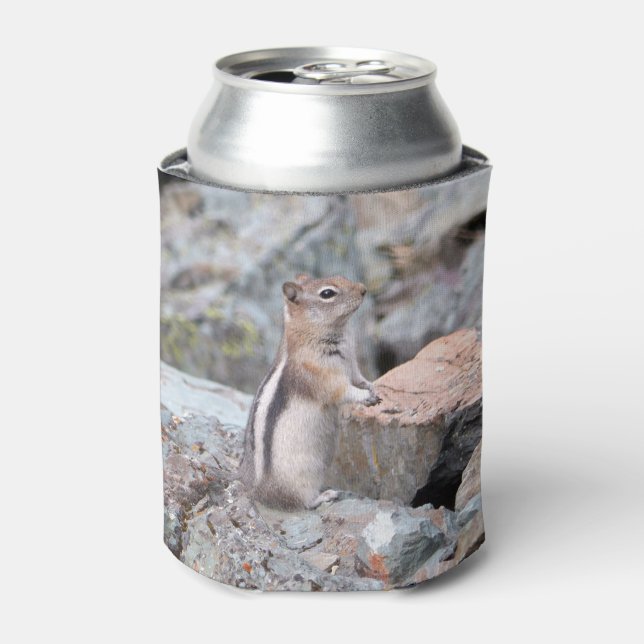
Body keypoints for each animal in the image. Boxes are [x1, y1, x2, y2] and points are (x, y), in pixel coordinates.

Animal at [238, 274, 381, 511]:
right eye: (327, 293)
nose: (363, 289)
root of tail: (257, 493)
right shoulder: (323, 377)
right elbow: (343, 391)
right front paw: (365, 397)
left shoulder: (352, 366)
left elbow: (360, 380)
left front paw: (372, 388)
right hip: (303, 476)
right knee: (303, 501)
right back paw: (325, 496)